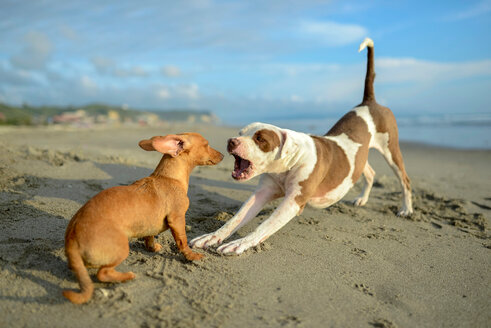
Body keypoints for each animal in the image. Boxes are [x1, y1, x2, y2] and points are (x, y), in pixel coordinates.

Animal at [63, 132, 223, 304]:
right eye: (206, 144)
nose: (223, 155)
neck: (169, 177)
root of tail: (72, 238)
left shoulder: (151, 225)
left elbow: (149, 237)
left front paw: (152, 247)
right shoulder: (177, 219)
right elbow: (182, 241)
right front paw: (192, 256)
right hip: (121, 249)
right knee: (103, 273)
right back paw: (126, 276)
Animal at [190, 37, 414, 255]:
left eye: (260, 139)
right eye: (240, 133)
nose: (231, 141)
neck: (289, 162)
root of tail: (369, 102)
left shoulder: (293, 202)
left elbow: (264, 225)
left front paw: (240, 243)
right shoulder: (262, 192)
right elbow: (235, 219)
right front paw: (211, 237)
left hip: (391, 149)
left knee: (404, 179)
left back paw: (406, 209)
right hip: (360, 155)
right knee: (368, 171)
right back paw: (362, 199)